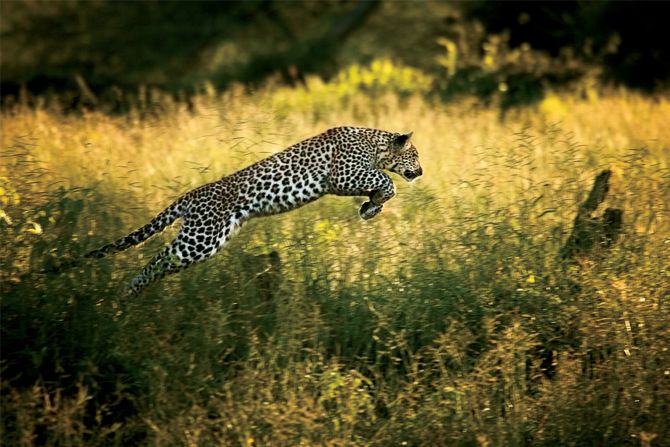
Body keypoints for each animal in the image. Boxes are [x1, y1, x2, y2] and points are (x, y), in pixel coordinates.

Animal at [77, 126, 420, 296]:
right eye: (415, 155)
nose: (422, 171)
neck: (375, 145)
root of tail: (190, 195)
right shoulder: (344, 174)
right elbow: (388, 182)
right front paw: (375, 202)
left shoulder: (352, 177)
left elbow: (381, 187)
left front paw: (369, 207)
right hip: (200, 238)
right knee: (159, 259)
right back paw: (128, 293)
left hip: (208, 238)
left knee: (164, 260)